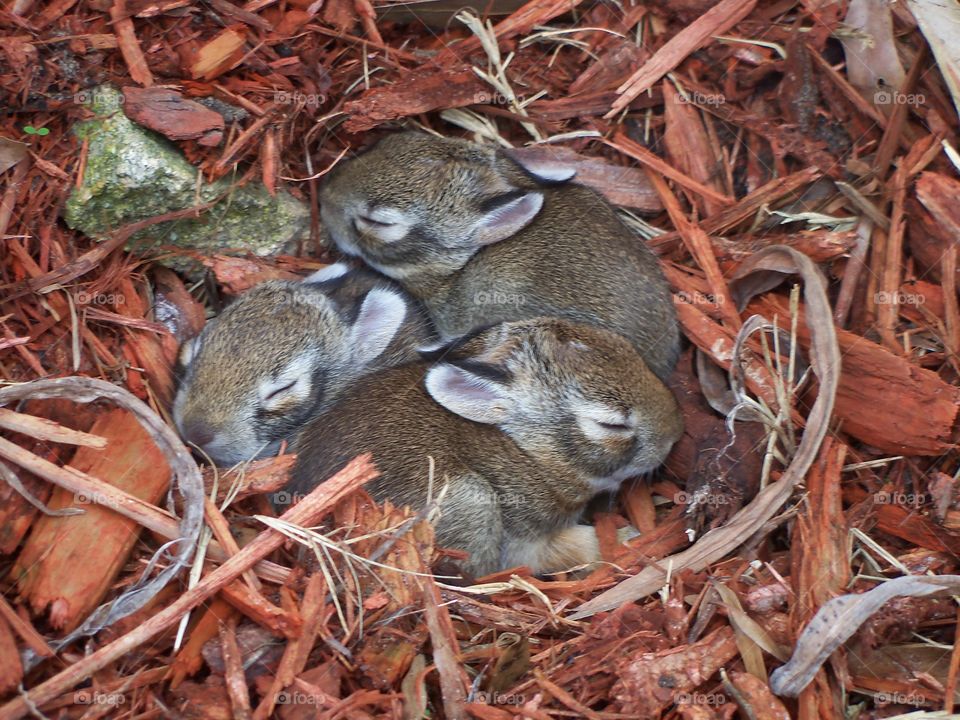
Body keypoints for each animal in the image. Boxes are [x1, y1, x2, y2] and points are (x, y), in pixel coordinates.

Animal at [286, 318, 684, 576]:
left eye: (627, 349)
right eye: (611, 424)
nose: (673, 434)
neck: (531, 452)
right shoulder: (524, 540)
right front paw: (628, 538)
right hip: (471, 501)